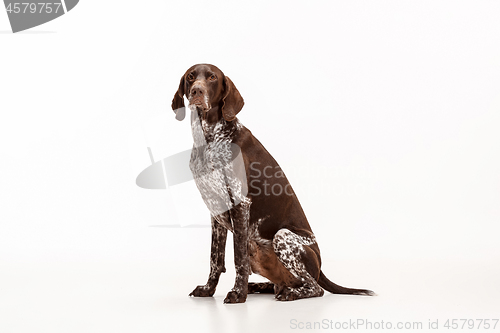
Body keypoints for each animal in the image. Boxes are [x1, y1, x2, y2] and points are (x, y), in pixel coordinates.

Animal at [170, 63, 374, 302]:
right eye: (191, 77)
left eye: (212, 77)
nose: (197, 91)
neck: (209, 138)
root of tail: (320, 267)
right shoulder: (217, 211)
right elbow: (215, 259)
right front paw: (209, 289)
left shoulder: (240, 204)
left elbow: (238, 258)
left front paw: (238, 294)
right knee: (281, 284)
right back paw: (260, 287)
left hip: (282, 236)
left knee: (315, 288)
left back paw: (287, 294)